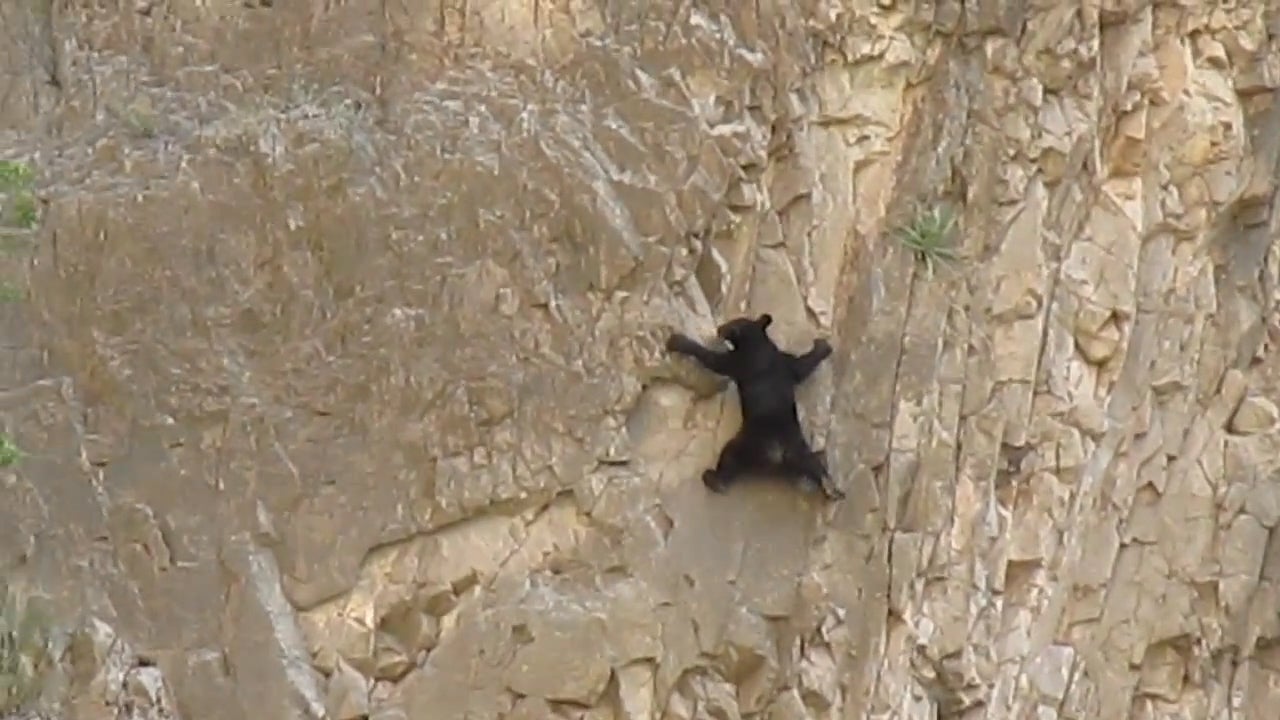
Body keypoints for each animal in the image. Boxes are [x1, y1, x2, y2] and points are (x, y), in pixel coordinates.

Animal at [665, 313, 844, 501]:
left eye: (729, 324)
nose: (719, 328)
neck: (758, 340)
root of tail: (777, 453)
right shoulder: (786, 361)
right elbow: (803, 366)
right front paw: (822, 346)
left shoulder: (738, 361)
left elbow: (712, 359)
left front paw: (677, 341)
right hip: (799, 449)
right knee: (814, 464)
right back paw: (832, 489)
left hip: (747, 445)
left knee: (729, 456)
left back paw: (712, 479)